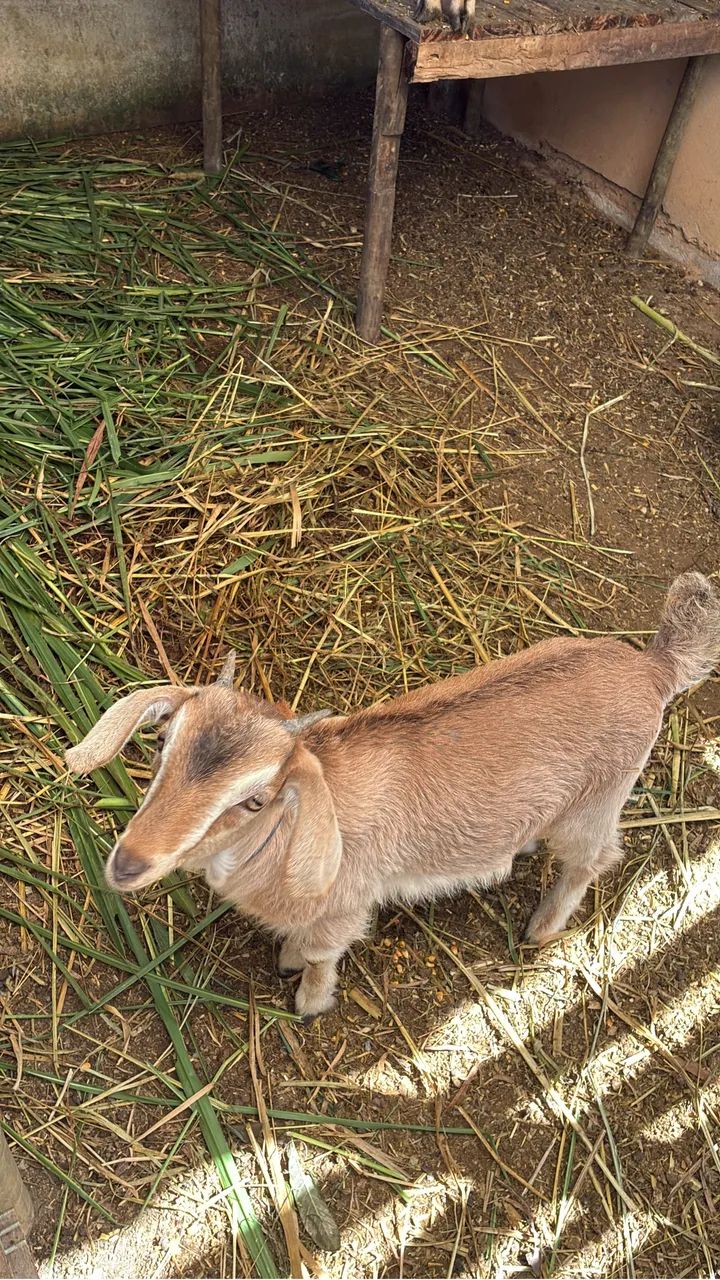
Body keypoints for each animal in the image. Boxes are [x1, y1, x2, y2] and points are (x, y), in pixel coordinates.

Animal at [66, 573, 720, 1021]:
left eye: (255, 800)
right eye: (161, 743)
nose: (128, 864)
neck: (280, 842)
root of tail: (653, 669)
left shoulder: (345, 908)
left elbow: (323, 955)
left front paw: (306, 997)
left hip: (597, 800)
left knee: (594, 860)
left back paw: (542, 926)